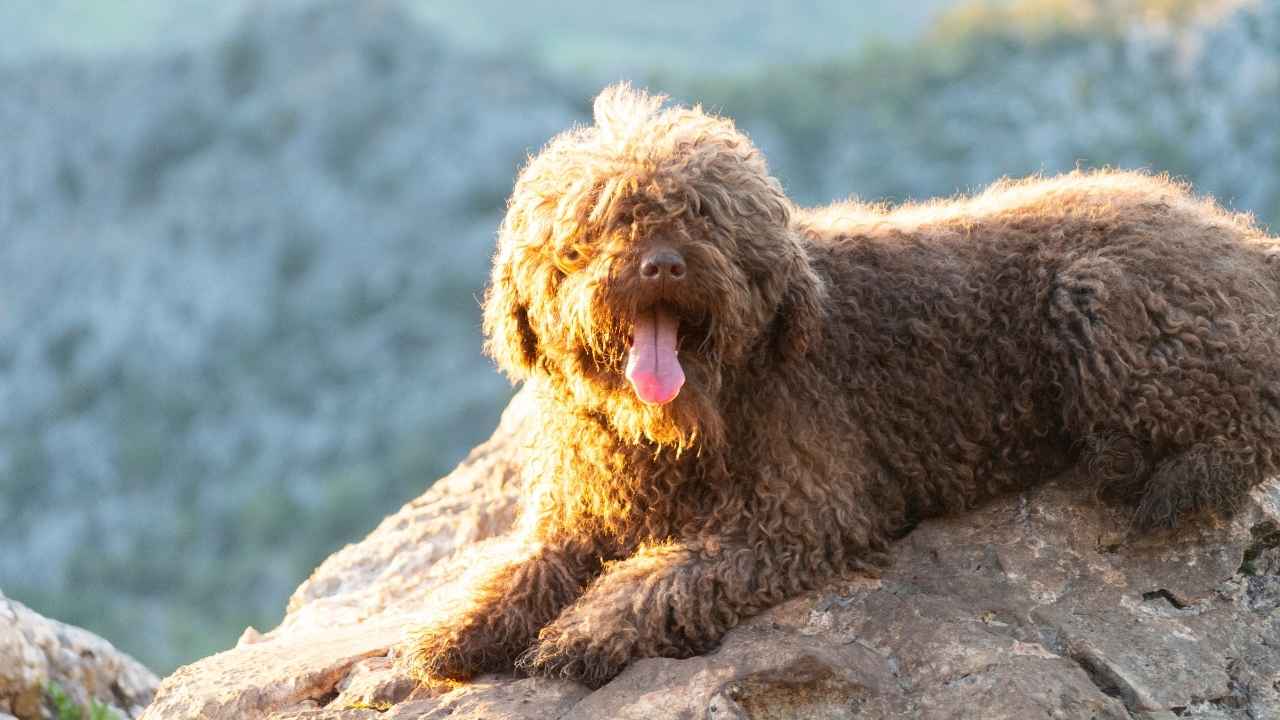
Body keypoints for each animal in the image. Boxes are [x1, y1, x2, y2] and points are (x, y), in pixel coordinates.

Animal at [407, 82, 1280, 681]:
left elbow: (668, 577)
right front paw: (459, 624)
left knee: (1252, 421)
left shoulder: (794, 516)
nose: (661, 265)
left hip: (1104, 301)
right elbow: (523, 565)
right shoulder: (577, 514)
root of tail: (1243, 237)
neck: (675, 430)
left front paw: (588, 629)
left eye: (700, 215)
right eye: (600, 226)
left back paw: (1157, 471)